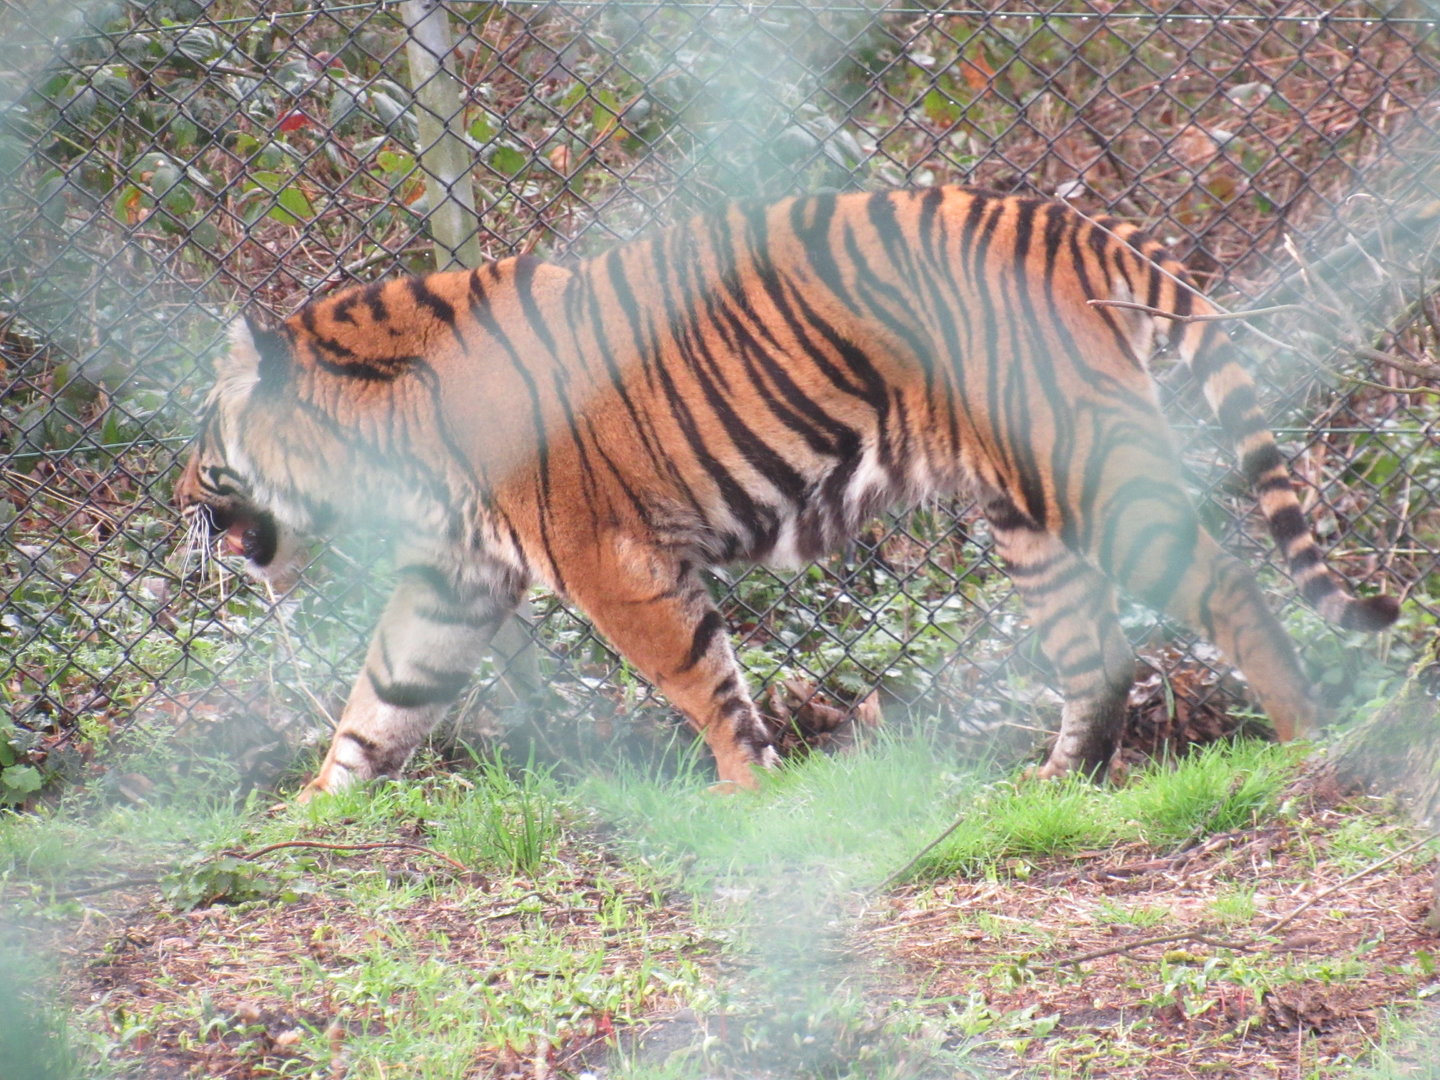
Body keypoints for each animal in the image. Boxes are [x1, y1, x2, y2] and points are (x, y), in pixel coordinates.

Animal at [174, 186, 1398, 798]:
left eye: (205, 437)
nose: (181, 490)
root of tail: (1067, 218)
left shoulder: (613, 563)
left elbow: (696, 676)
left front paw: (744, 787)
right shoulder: (454, 579)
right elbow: (380, 699)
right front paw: (309, 812)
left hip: (1085, 471)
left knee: (1225, 586)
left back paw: (1307, 744)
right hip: (1025, 509)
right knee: (1096, 648)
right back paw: (1054, 784)